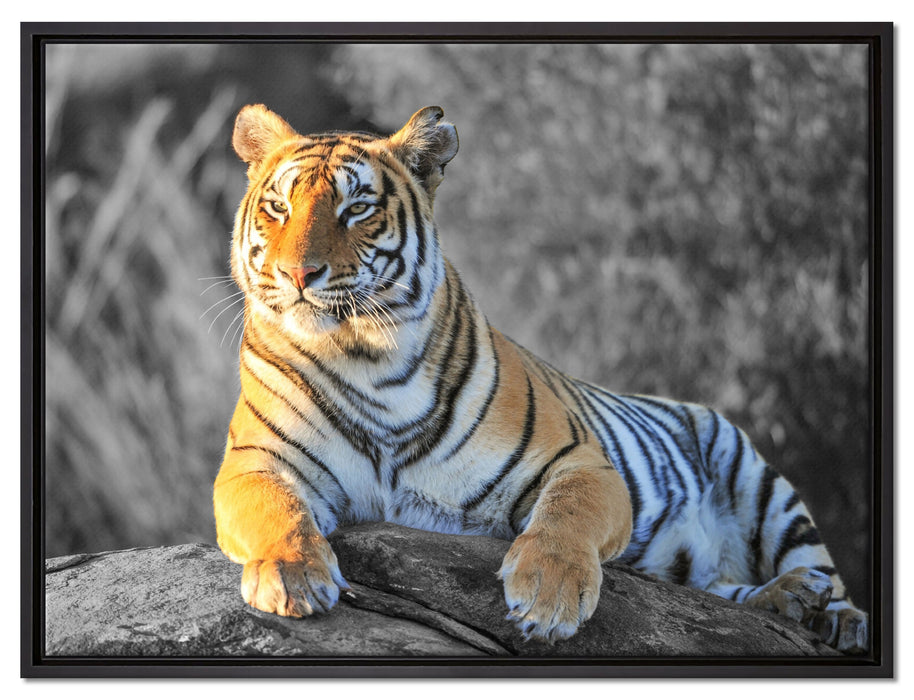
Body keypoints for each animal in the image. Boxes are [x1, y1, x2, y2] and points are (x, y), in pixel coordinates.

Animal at [213, 103, 868, 653]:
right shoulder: (254, 464)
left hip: (760, 481)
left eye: (357, 209)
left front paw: (549, 598)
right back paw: (788, 601)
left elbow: (565, 517)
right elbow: (276, 511)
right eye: (278, 207)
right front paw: (292, 576)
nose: (298, 274)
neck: (366, 358)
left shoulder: (580, 461)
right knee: (715, 588)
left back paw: (828, 611)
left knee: (820, 570)